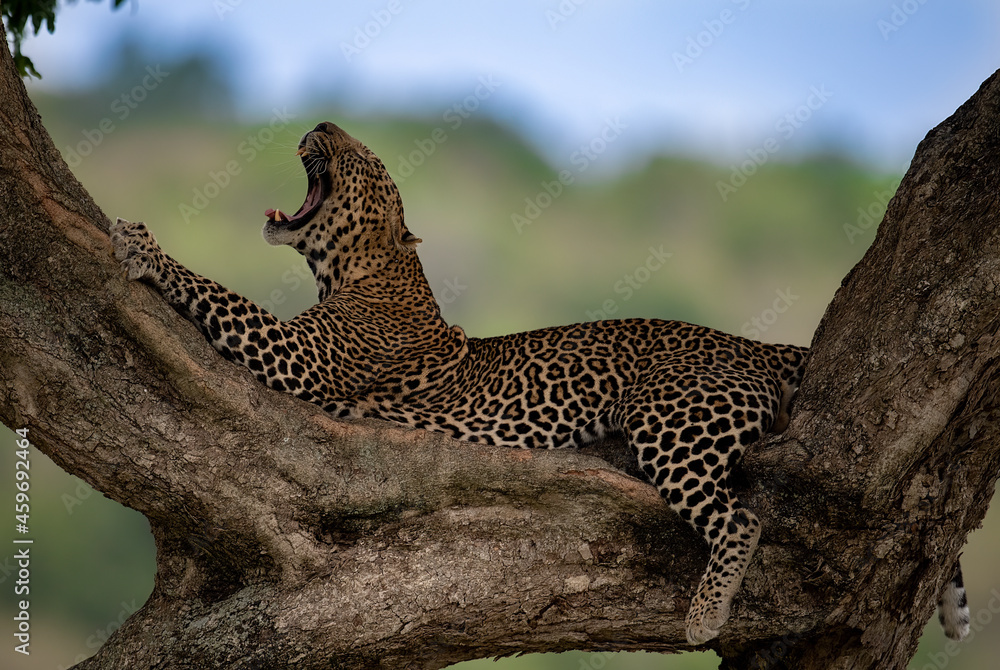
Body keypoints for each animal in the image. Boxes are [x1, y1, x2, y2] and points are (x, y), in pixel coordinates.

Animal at [110, 121, 967, 646]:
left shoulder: (297, 355)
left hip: (673, 421)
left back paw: (704, 615)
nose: (321, 124)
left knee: (741, 519)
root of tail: (751, 342)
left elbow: (223, 295)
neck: (360, 269)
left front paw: (142, 245)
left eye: (364, 161)